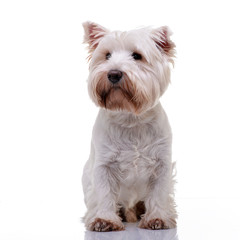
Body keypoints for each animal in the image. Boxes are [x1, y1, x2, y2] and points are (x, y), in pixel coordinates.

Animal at [81, 21, 177, 232]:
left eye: (137, 56)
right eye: (107, 55)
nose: (114, 73)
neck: (130, 118)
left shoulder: (162, 164)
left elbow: (158, 193)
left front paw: (157, 218)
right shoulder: (104, 165)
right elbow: (105, 193)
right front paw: (105, 220)